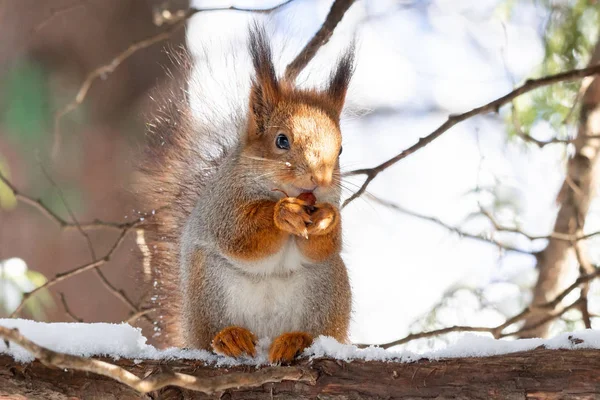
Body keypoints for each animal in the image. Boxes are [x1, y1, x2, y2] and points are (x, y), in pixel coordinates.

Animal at [139, 25, 356, 366]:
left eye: (341, 148)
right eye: (281, 140)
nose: (319, 180)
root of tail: (265, 335)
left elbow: (323, 246)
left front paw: (326, 220)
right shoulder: (224, 206)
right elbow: (241, 236)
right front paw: (282, 213)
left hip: (329, 286)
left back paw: (296, 340)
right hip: (207, 287)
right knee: (211, 334)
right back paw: (229, 338)